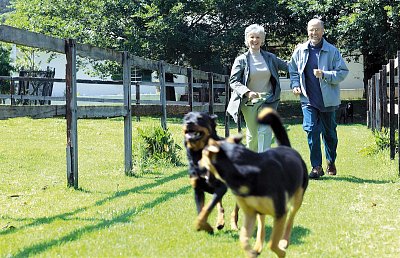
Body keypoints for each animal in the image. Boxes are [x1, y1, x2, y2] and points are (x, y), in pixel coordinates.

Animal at [200, 108, 310, 256]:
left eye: (205, 159)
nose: (205, 180)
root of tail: (288, 148)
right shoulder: (250, 214)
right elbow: (244, 238)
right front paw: (252, 251)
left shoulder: (280, 213)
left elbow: (272, 243)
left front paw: (281, 252)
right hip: (260, 211)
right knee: (261, 228)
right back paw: (258, 246)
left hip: (296, 200)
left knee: (290, 219)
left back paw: (284, 241)